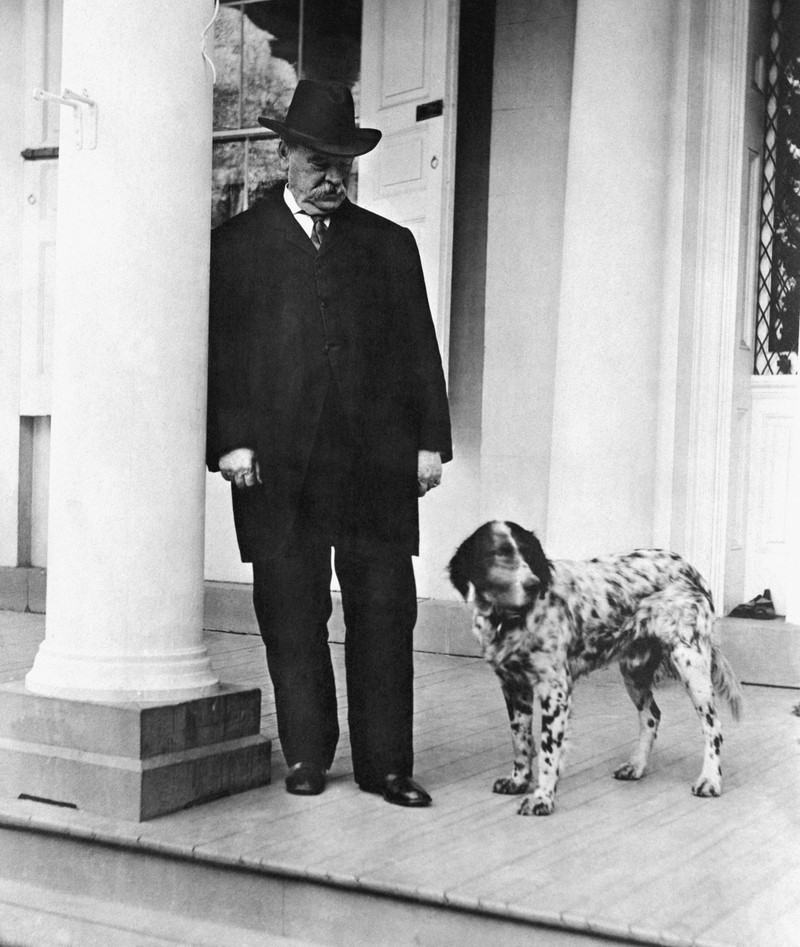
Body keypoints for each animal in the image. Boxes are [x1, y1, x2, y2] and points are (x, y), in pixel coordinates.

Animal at [450, 524, 744, 820]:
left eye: (527, 552)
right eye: (498, 553)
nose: (533, 585)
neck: (510, 620)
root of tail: (692, 571)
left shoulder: (555, 689)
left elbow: (547, 751)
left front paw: (542, 798)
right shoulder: (514, 685)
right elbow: (520, 740)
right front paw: (518, 781)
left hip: (690, 664)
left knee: (712, 727)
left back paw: (710, 780)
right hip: (634, 671)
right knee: (651, 716)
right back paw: (636, 766)